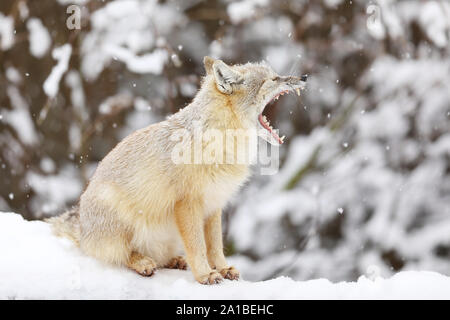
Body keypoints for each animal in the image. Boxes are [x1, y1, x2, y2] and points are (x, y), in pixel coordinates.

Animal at [48, 57, 306, 284]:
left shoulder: (214, 204)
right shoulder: (188, 203)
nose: (304, 77)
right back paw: (142, 262)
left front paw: (222, 269)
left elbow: (215, 246)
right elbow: (198, 246)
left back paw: (173, 260)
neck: (217, 143)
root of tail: (82, 230)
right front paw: (205, 275)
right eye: (274, 79)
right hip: (121, 219)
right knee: (119, 255)